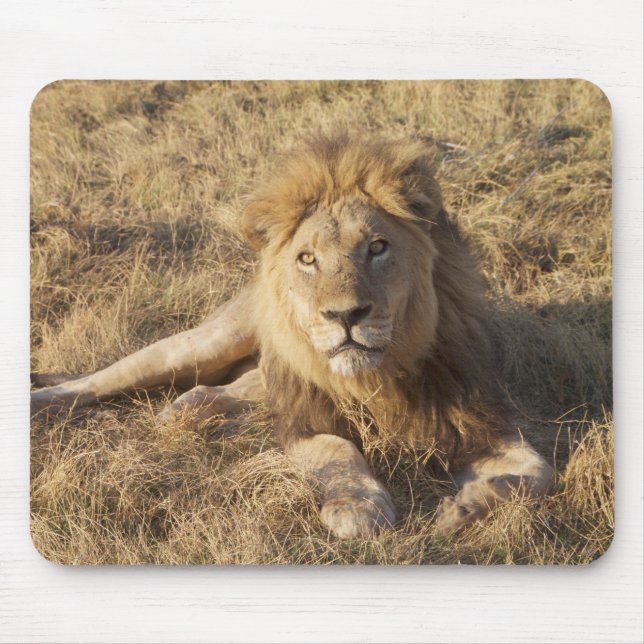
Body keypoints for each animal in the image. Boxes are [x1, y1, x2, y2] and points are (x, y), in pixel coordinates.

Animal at [31, 133, 553, 538]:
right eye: (307, 258)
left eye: (377, 247)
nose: (346, 315)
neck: (376, 378)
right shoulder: (304, 421)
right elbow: (338, 450)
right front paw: (357, 506)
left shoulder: (479, 421)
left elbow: (541, 475)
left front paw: (466, 506)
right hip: (201, 345)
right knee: (101, 380)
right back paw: (44, 400)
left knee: (215, 391)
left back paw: (190, 415)